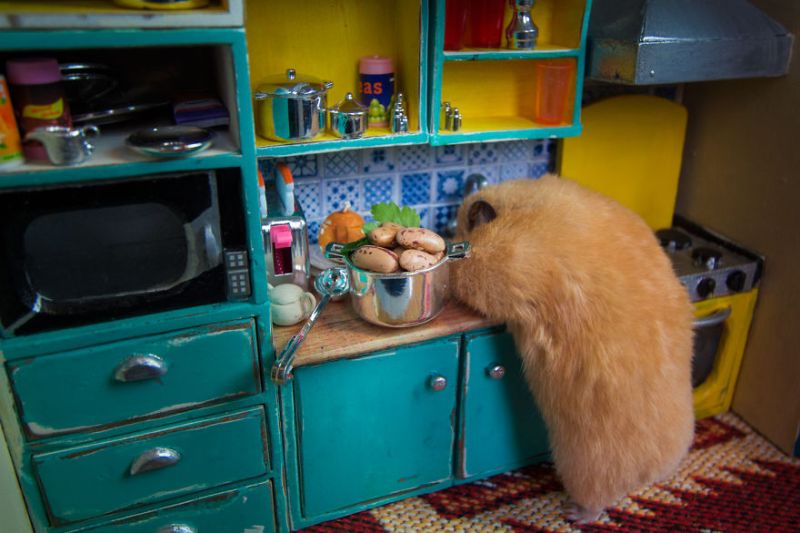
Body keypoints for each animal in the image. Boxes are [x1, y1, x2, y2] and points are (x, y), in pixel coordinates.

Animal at [454, 174, 696, 520]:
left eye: (462, 228)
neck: (519, 210)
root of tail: (655, 471)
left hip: (585, 463)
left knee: (599, 499)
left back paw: (574, 513)